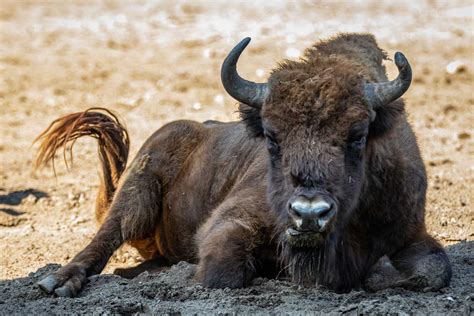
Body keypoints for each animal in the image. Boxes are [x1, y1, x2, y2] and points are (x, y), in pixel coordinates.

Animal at [34, 33, 452, 298]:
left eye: (358, 135)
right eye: (271, 136)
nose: (309, 214)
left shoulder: (409, 231)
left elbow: (436, 271)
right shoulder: (230, 220)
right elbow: (224, 272)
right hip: (137, 193)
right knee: (104, 238)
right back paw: (57, 283)